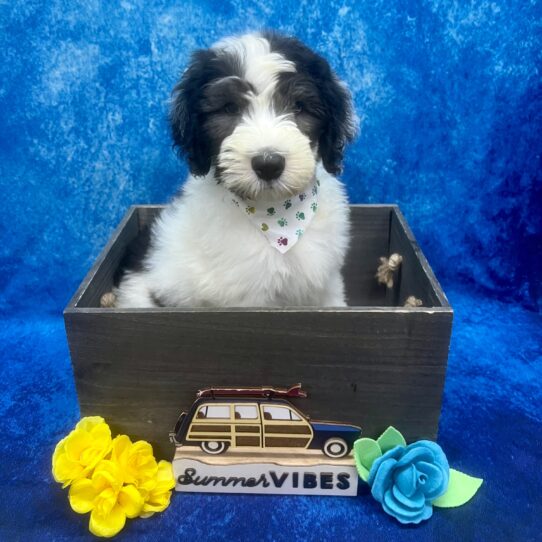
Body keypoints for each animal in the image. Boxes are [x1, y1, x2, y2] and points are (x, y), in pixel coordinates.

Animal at [113, 31, 360, 308]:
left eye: (299, 107)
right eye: (230, 108)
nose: (268, 165)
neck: (278, 220)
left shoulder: (326, 282)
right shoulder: (248, 300)